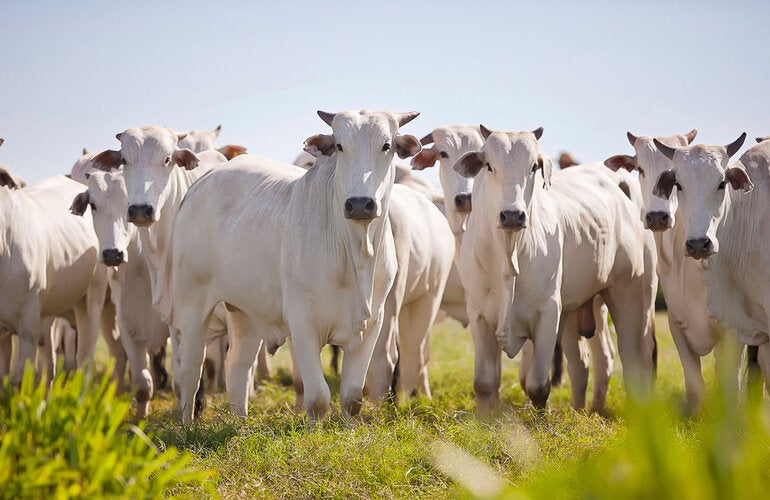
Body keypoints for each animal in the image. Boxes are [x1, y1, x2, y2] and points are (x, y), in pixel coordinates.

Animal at [166, 109, 421, 424]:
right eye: (339, 146)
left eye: (386, 145)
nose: (360, 204)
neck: (356, 254)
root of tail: (201, 183)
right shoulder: (302, 322)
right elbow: (318, 399)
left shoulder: (373, 322)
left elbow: (351, 398)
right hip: (191, 303)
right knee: (190, 370)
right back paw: (187, 424)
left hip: (245, 312)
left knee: (237, 366)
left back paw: (240, 424)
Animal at [454, 126, 657, 411]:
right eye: (489, 166)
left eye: (533, 167)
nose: (513, 215)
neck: (508, 255)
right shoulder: (479, 314)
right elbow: (484, 384)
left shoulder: (549, 312)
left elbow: (538, 386)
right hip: (581, 308)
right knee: (587, 362)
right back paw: (585, 409)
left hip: (630, 294)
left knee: (634, 359)